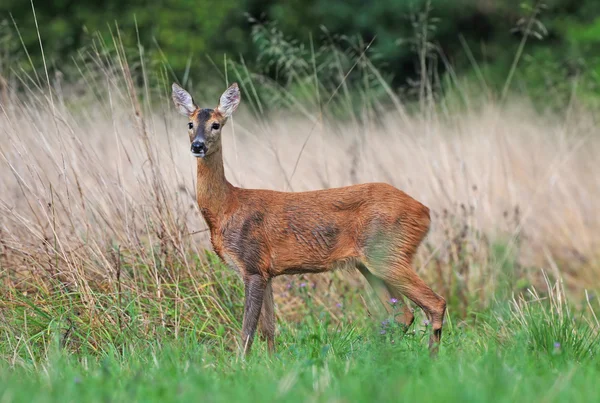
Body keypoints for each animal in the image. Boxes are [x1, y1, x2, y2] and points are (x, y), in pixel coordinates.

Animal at [170, 81, 446, 356]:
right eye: (190, 124)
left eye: (216, 124)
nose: (198, 146)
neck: (226, 207)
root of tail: (425, 212)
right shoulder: (267, 272)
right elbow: (269, 329)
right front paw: (270, 362)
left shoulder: (252, 265)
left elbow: (247, 331)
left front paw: (241, 363)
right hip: (369, 264)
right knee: (403, 314)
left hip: (389, 254)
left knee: (435, 303)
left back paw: (429, 358)